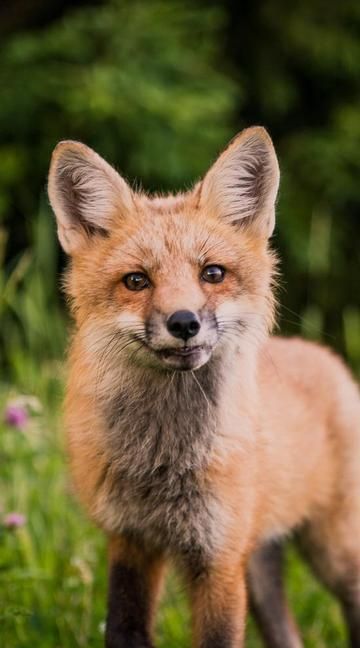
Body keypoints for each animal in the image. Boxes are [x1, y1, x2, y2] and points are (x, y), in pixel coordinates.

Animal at [47, 128, 360, 648]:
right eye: (136, 280)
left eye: (212, 273)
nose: (184, 323)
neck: (163, 461)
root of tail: (327, 357)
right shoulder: (130, 541)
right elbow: (124, 629)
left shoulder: (219, 560)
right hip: (260, 568)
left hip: (333, 553)